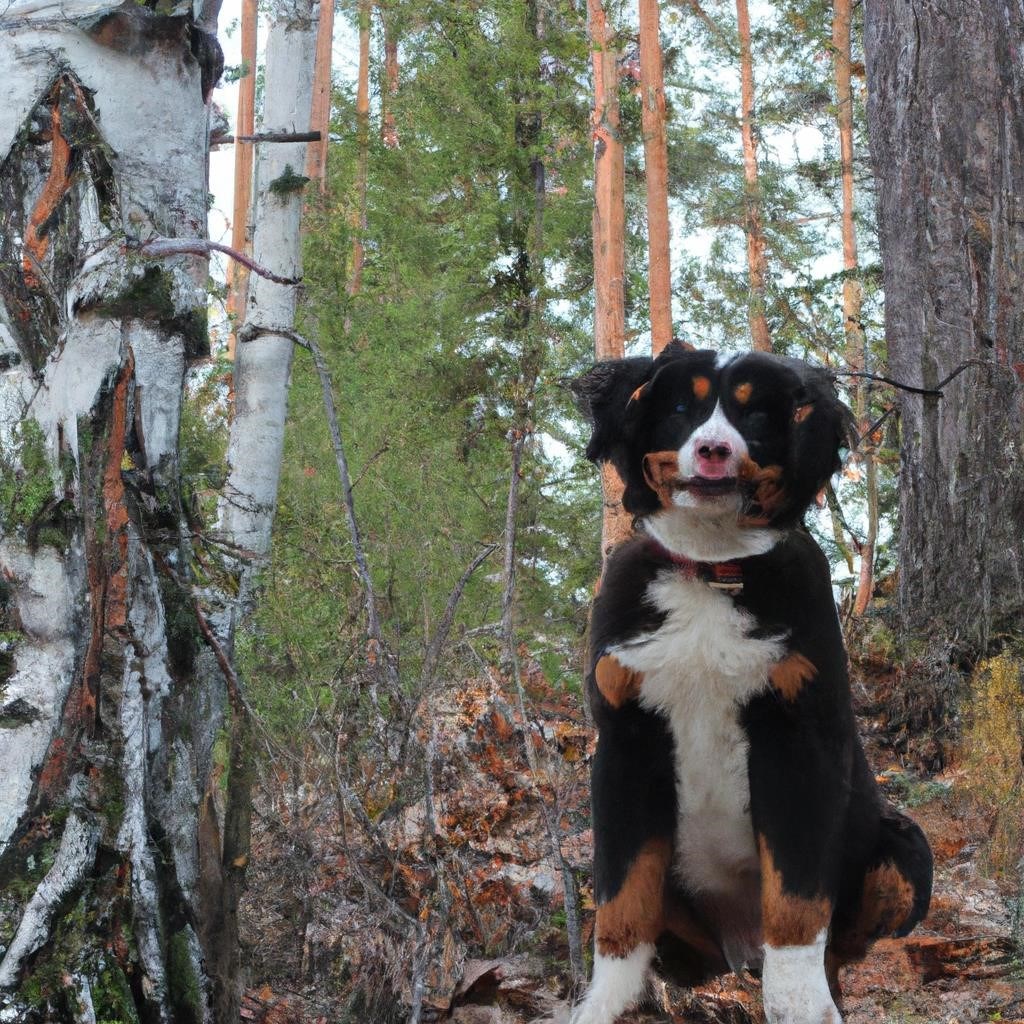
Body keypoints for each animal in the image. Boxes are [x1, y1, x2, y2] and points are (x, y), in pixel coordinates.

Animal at [573, 346, 933, 1024]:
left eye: (758, 415)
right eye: (680, 407)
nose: (715, 449)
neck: (710, 570)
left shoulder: (799, 741)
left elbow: (795, 905)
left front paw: (802, 1008)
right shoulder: (625, 742)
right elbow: (621, 901)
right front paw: (602, 1005)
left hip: (904, 847)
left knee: (834, 948)